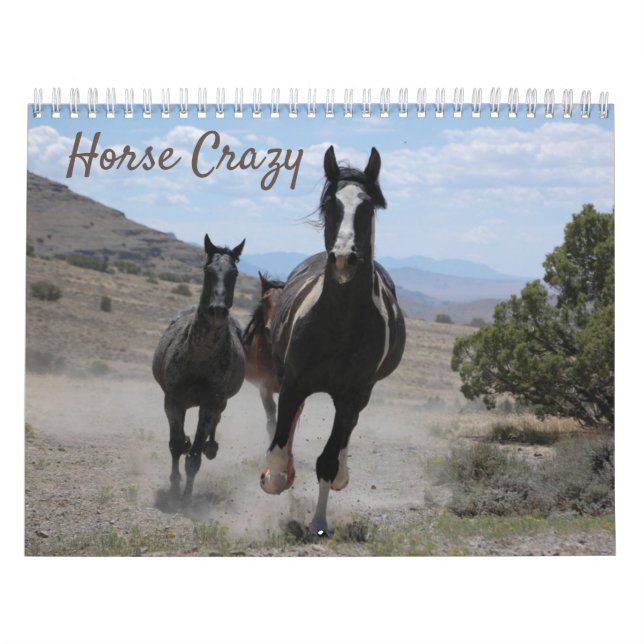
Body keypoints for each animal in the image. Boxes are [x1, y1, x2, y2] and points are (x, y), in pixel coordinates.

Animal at [152, 234, 246, 499]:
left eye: (234, 272)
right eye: (208, 270)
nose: (217, 310)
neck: (199, 359)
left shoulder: (209, 403)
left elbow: (194, 457)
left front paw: (186, 498)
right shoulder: (173, 401)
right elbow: (176, 446)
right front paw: (175, 487)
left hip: (219, 403)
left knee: (215, 424)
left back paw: (210, 446)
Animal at [260, 145, 406, 535]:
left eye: (367, 207)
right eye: (330, 204)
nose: (343, 258)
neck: (338, 324)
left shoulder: (353, 395)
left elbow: (327, 459)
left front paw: (319, 522)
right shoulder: (294, 383)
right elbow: (279, 449)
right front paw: (277, 476)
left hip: (361, 395)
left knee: (344, 436)